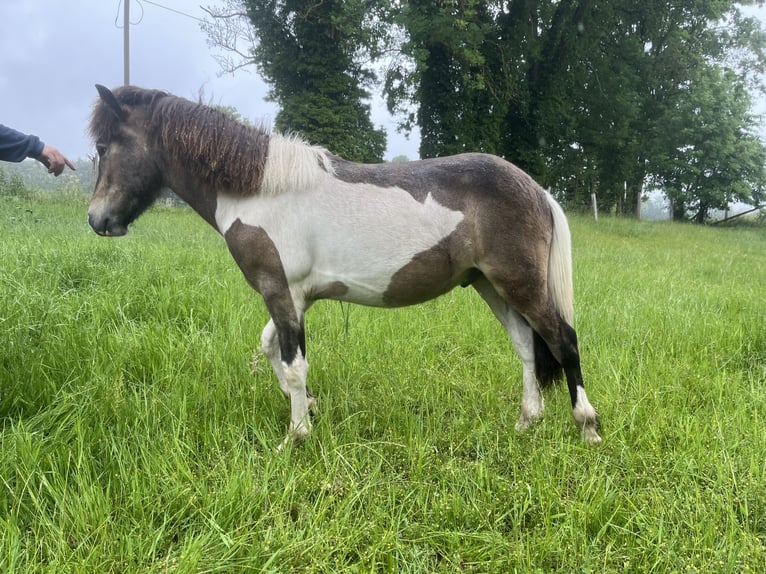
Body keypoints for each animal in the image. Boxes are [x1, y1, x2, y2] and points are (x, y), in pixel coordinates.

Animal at [87, 84, 601, 447]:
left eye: (105, 148)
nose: (97, 219)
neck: (260, 191)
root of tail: (536, 188)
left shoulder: (281, 291)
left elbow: (293, 363)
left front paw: (296, 436)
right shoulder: (293, 297)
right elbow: (273, 349)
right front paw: (309, 407)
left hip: (520, 283)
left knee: (563, 341)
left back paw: (587, 427)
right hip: (491, 285)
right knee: (527, 347)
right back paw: (526, 422)